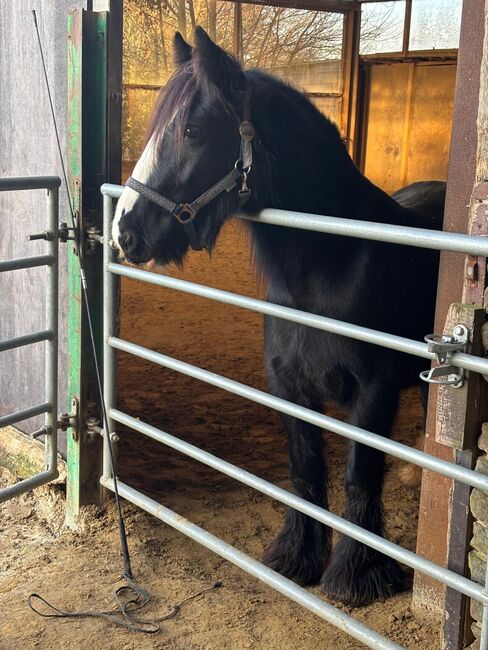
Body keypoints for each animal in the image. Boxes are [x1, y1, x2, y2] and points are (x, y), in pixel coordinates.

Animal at [115, 29, 446, 608]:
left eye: (192, 130)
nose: (125, 232)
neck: (333, 263)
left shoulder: (374, 392)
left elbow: (360, 476)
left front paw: (357, 575)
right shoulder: (288, 385)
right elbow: (306, 470)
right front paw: (297, 557)